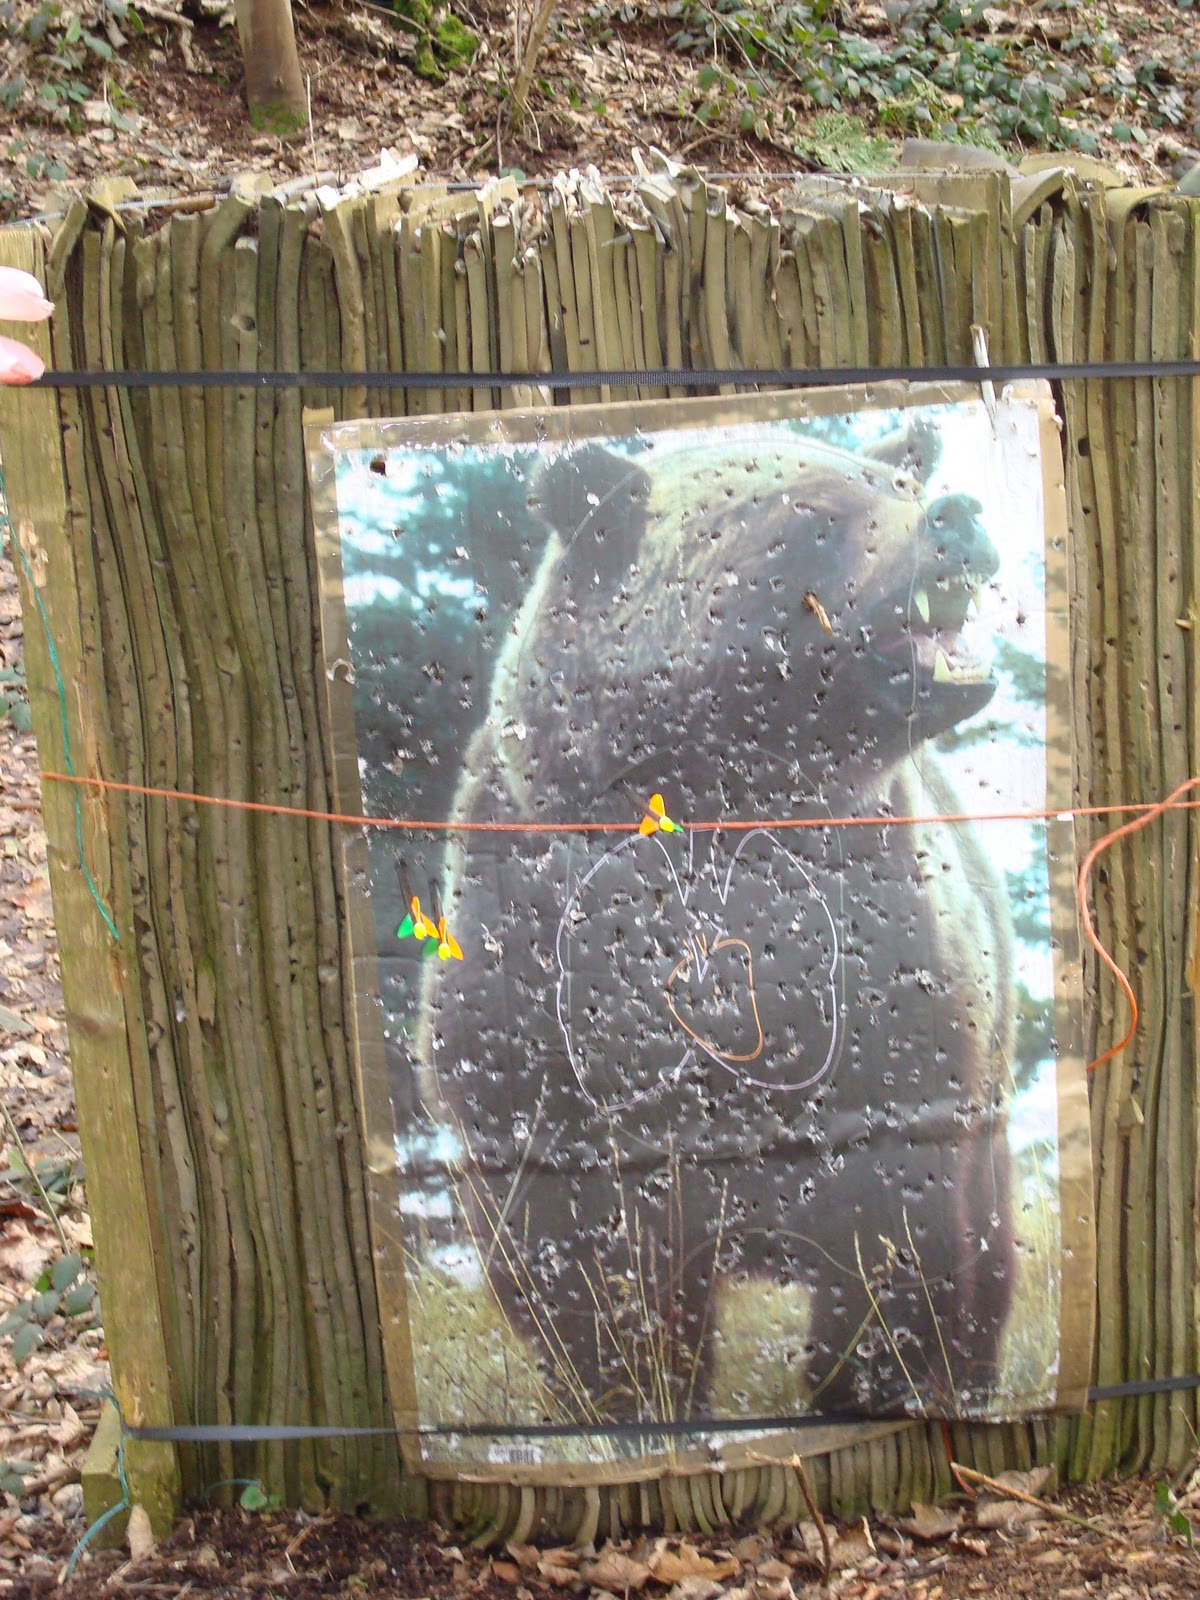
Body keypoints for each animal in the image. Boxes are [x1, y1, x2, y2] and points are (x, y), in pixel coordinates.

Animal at [414, 408, 1015, 1425]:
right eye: (814, 514)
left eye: (896, 484)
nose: (960, 513)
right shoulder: (532, 985)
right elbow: (574, 1251)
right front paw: (634, 1393)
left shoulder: (891, 964)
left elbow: (898, 1214)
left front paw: (864, 1375)